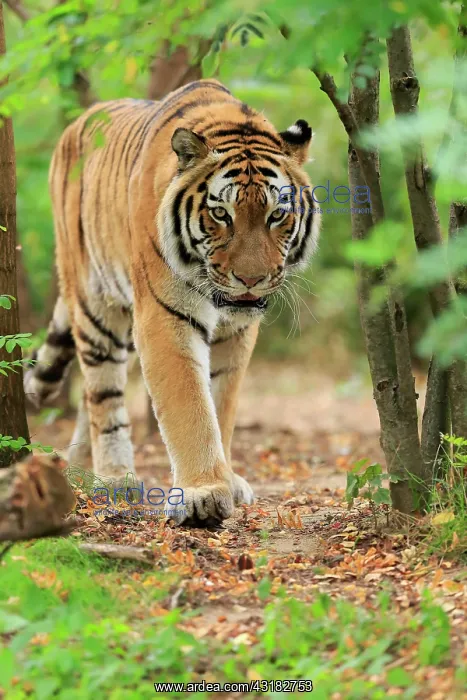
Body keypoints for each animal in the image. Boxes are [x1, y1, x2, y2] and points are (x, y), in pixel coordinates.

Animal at [24, 79, 320, 526]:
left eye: (276, 215)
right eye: (221, 214)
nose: (250, 280)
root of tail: (77, 122)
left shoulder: (237, 332)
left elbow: (222, 403)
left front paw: (227, 478)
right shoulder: (165, 317)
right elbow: (190, 404)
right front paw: (203, 494)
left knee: (90, 399)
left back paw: (79, 468)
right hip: (95, 304)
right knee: (103, 393)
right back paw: (114, 478)